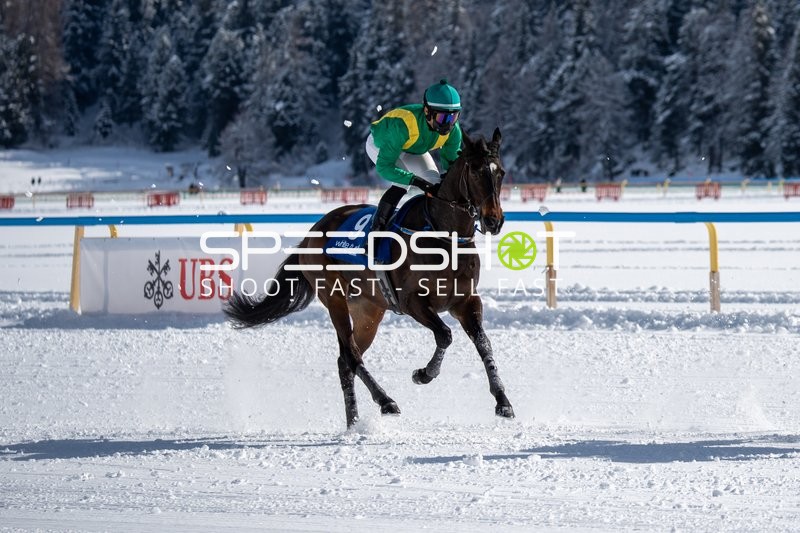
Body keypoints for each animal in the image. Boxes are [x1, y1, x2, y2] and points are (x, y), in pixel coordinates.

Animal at [224, 128, 513, 428]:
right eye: (475, 171)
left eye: (501, 172)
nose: (494, 221)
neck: (443, 234)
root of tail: (310, 235)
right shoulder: (413, 302)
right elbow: (444, 335)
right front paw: (423, 374)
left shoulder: (466, 301)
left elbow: (484, 344)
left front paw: (503, 402)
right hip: (334, 298)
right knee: (351, 356)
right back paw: (386, 401)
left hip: (368, 311)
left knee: (345, 361)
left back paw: (353, 421)